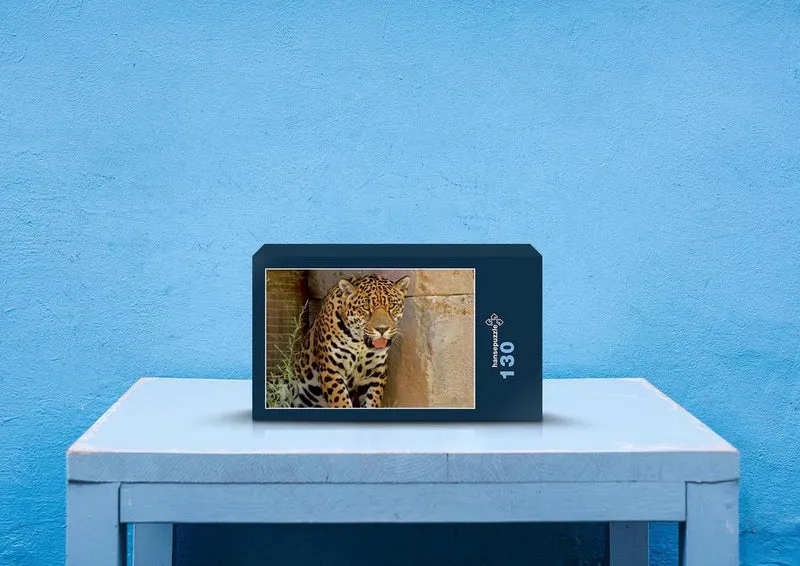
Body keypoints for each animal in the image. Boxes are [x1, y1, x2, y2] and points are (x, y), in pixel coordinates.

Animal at [290, 273, 411, 408]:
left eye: (392, 306)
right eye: (365, 307)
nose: (382, 329)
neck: (360, 344)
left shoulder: (375, 374)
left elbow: (372, 401)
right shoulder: (332, 370)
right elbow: (341, 401)